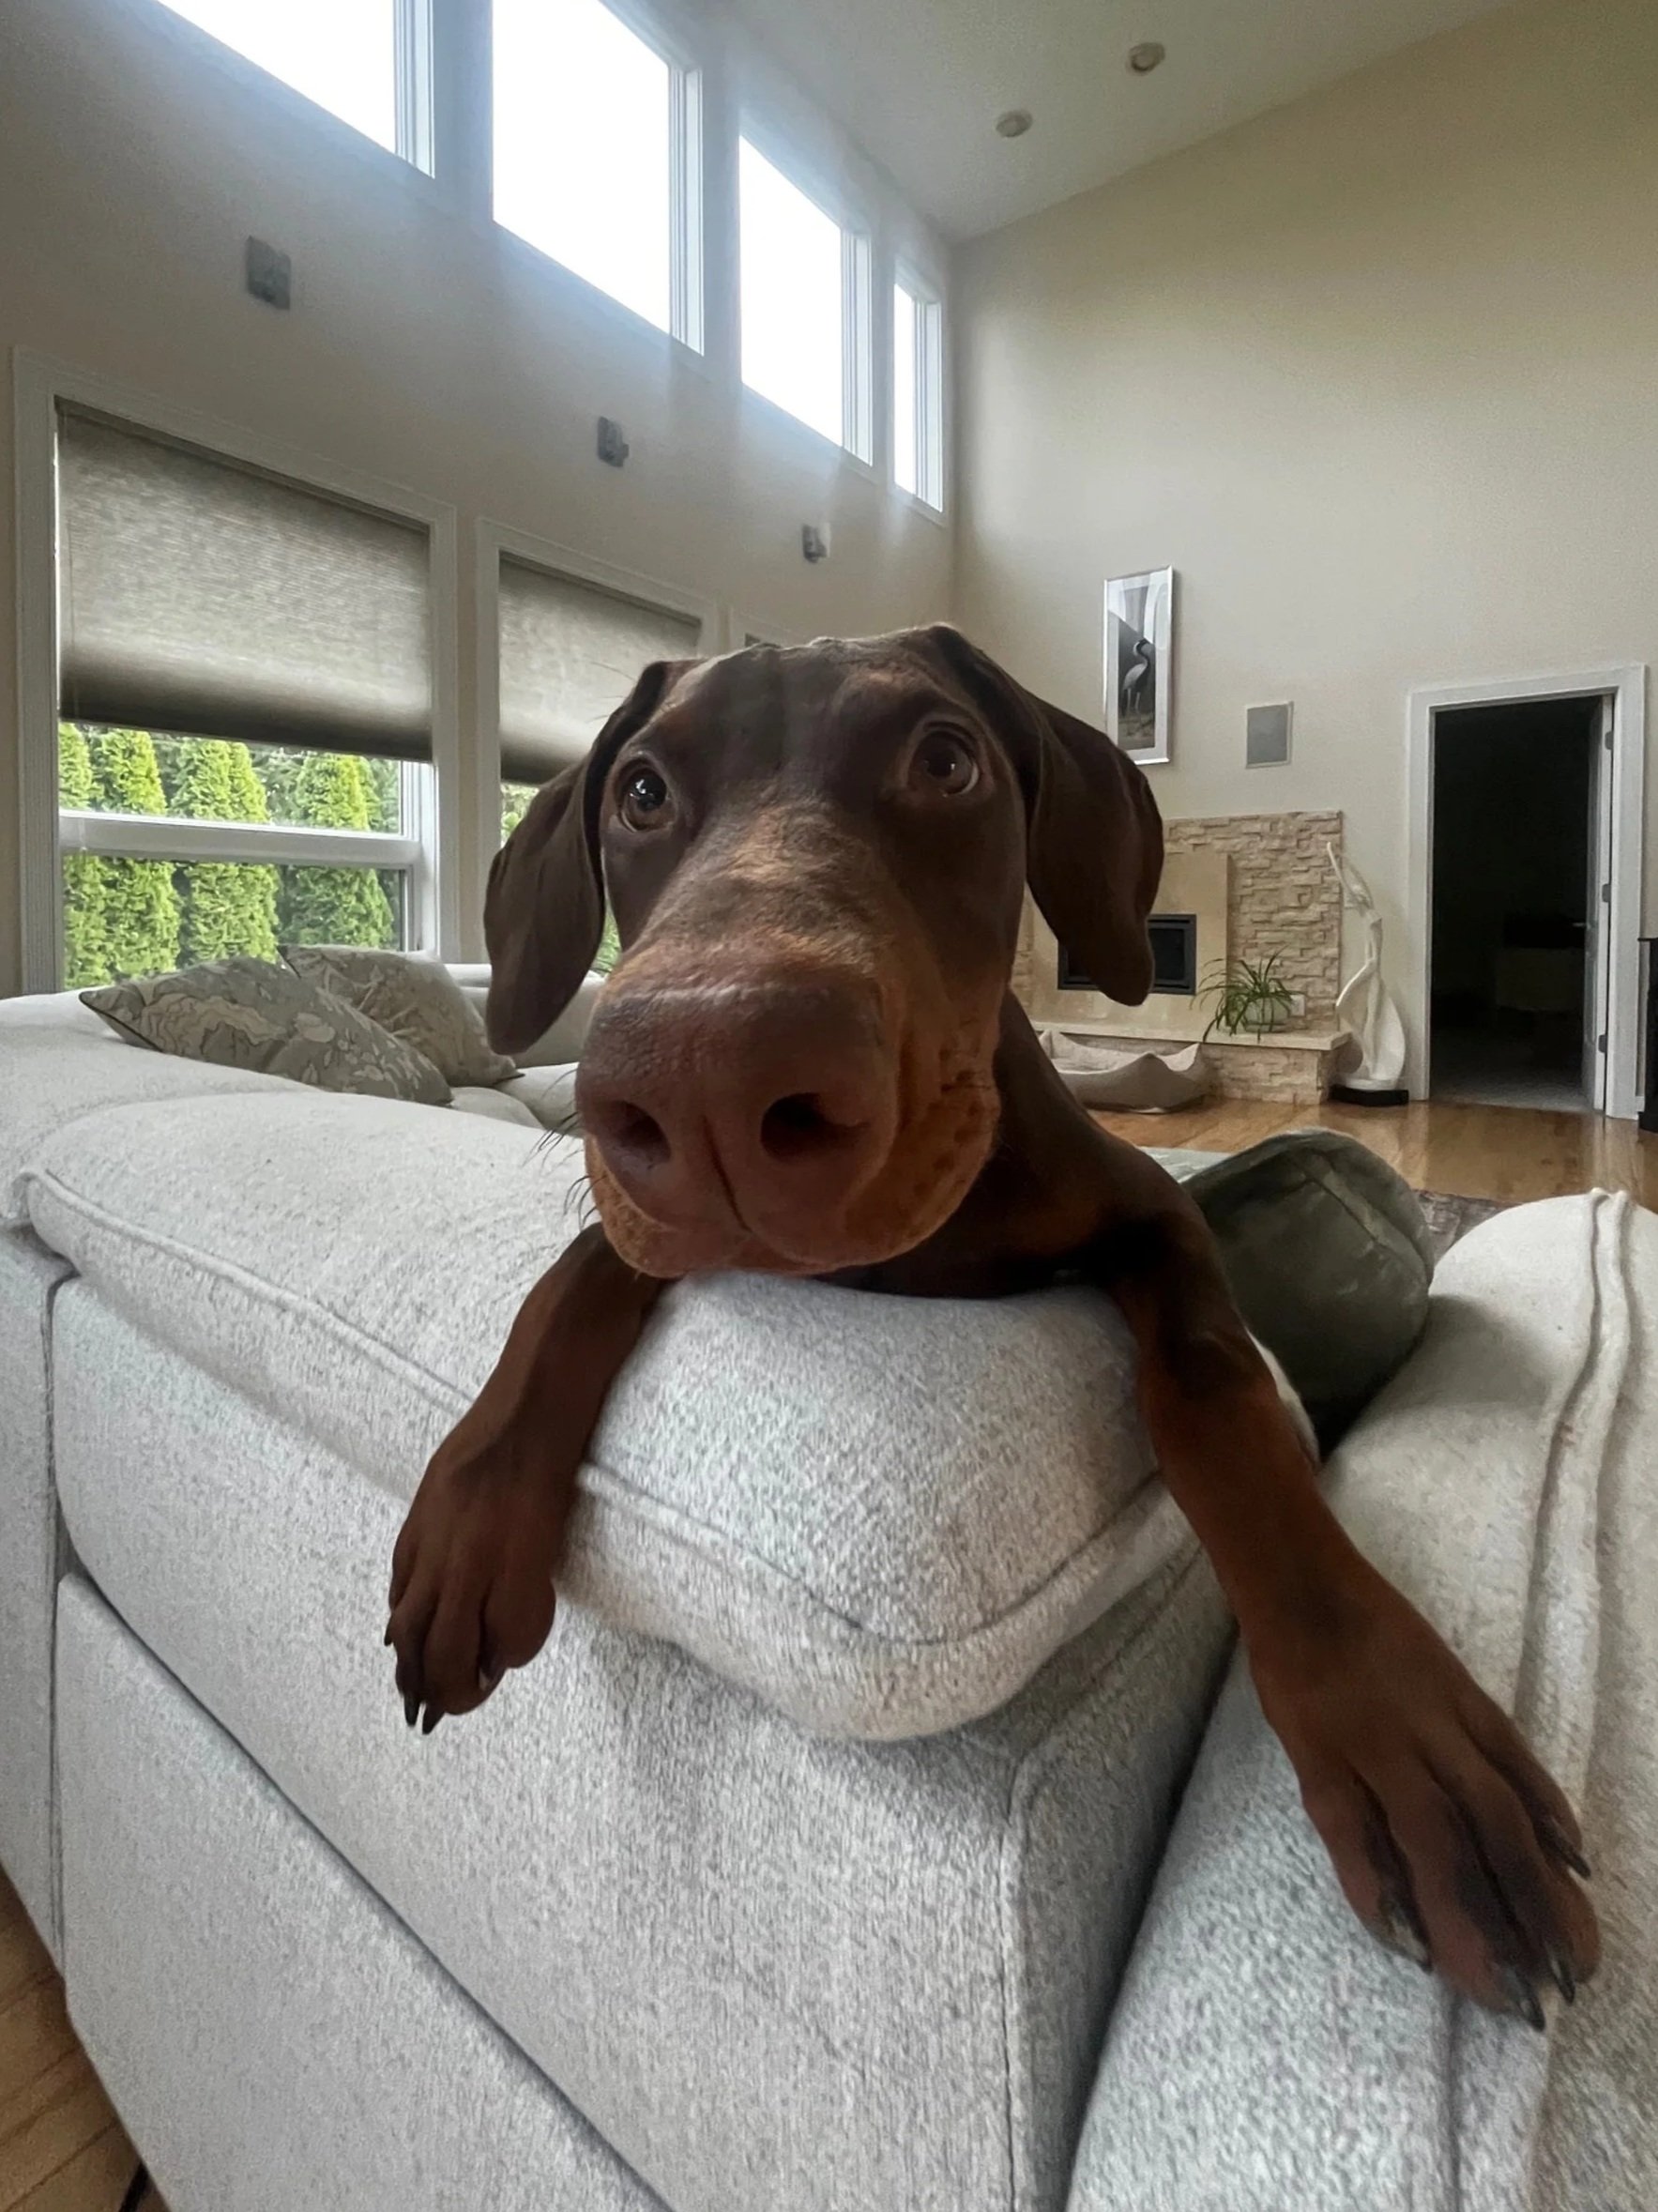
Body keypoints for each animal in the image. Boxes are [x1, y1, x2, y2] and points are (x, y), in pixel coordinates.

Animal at [387, 626, 1596, 2026]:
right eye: (639, 791)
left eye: (945, 760)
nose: (704, 1087)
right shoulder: (642, 1227)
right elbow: (571, 1281)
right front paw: (471, 1518)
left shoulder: (1150, 1216)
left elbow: (1213, 1385)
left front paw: (1391, 1725)